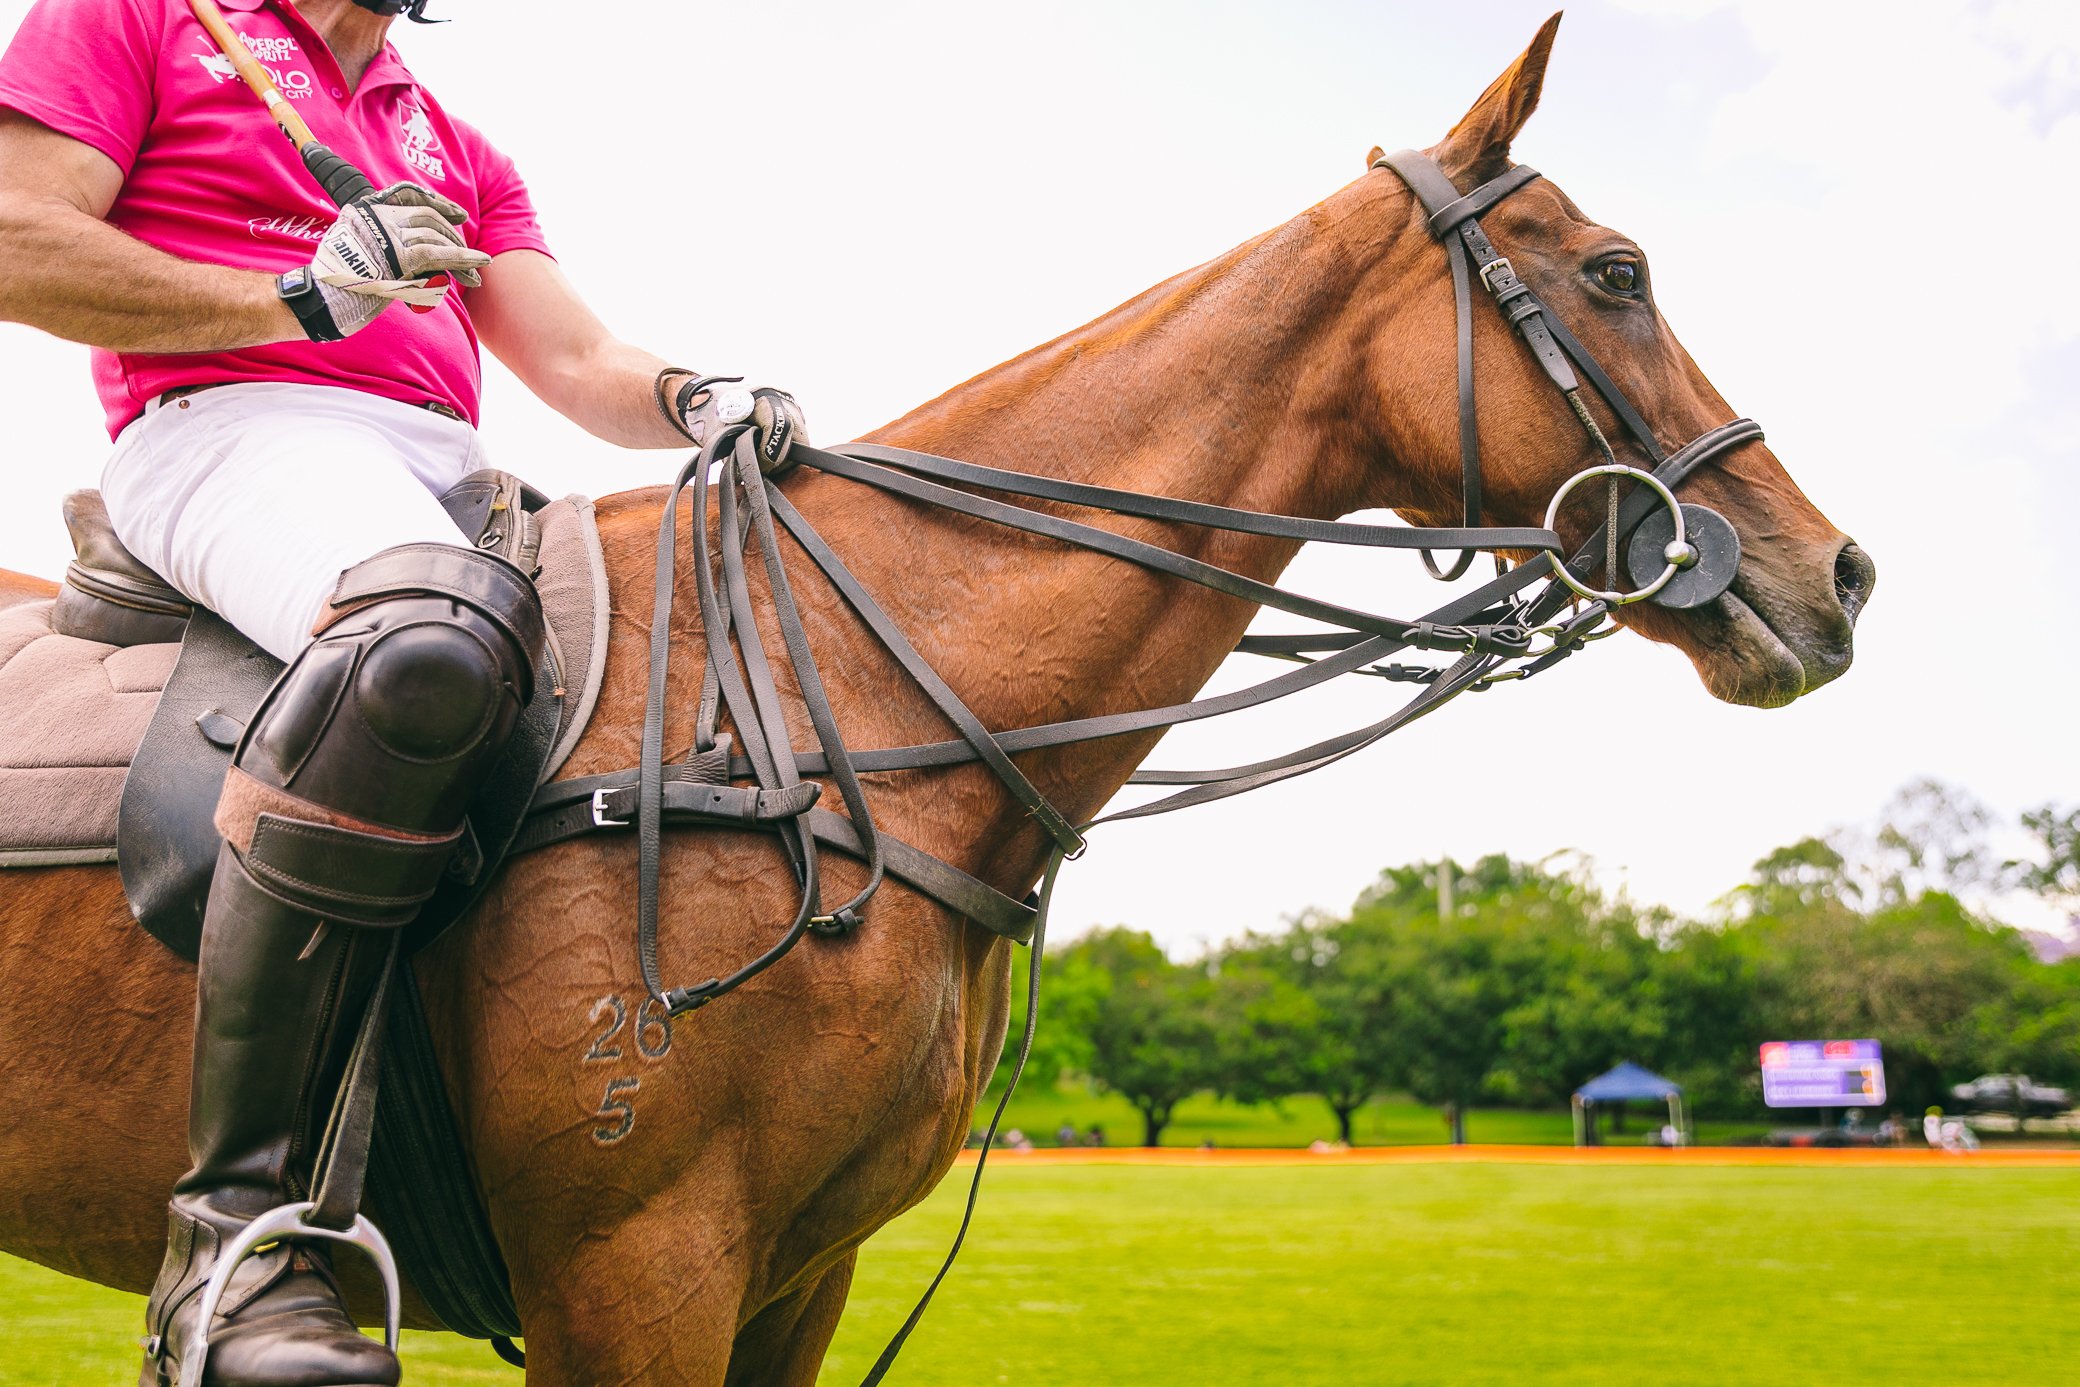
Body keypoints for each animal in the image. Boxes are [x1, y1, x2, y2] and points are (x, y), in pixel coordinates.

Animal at [0, 21, 1871, 1387]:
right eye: (1620, 272)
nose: (1837, 575)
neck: (835, 692)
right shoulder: (633, 1261)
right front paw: (354, 263)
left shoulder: (792, 1276)